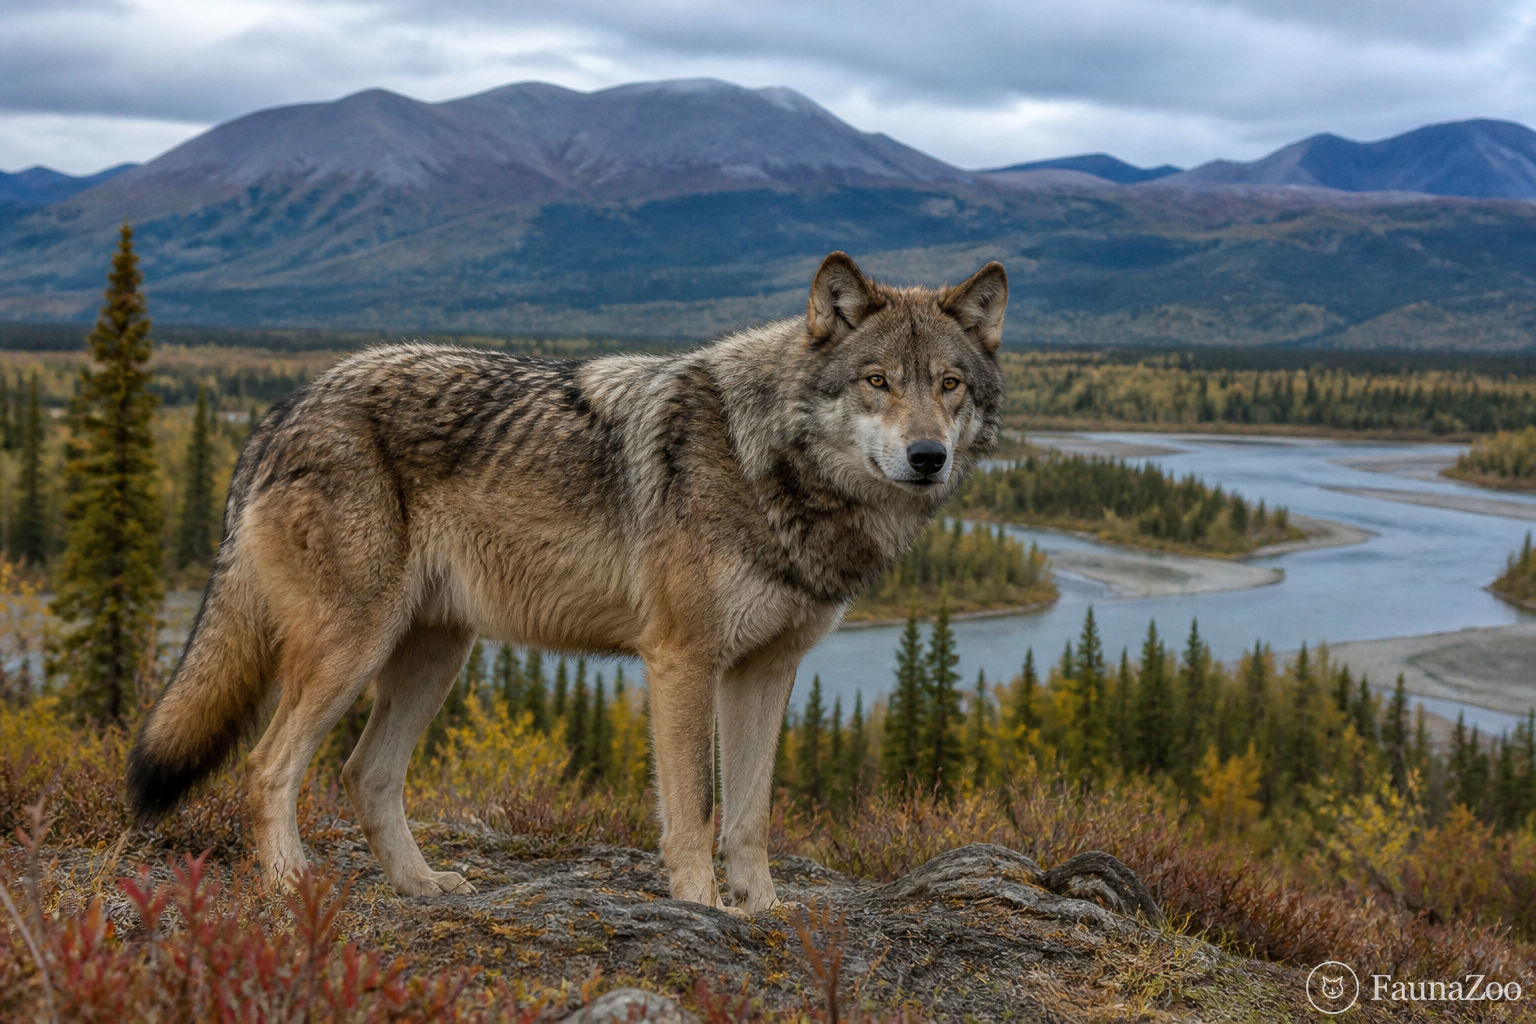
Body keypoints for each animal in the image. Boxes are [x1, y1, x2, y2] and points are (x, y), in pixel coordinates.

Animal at [127, 251, 1007, 914]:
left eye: (949, 385)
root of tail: (282, 409)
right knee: (267, 766)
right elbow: (694, 812)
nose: (927, 456)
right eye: (877, 381)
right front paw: (701, 909)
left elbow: (751, 816)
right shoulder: (683, 662)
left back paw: (422, 886)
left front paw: (765, 914)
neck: (773, 469)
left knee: (364, 775)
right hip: (353, 651)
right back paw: (289, 883)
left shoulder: (765, 671)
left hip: (434, 658)